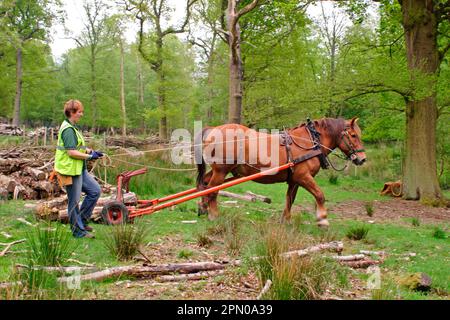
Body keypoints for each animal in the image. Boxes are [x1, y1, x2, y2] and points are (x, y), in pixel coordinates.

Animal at [195, 117, 368, 228]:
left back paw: (203, 207)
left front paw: (286, 220)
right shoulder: (303, 177)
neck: (310, 141)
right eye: (353, 135)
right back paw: (213, 214)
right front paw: (322, 220)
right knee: (212, 189)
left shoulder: (294, 180)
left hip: (220, 171)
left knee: (204, 183)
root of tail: (213, 130)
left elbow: (290, 200)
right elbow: (320, 195)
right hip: (221, 171)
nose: (362, 159)